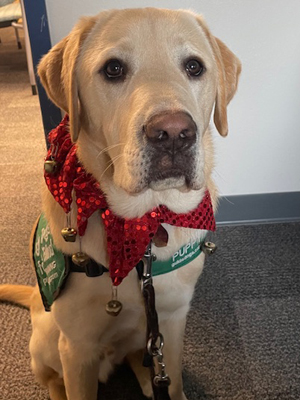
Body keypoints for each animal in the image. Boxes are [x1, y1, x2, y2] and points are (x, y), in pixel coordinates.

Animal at [0, 7, 239, 400]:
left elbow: (173, 382)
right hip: (49, 340)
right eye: (113, 69)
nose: (174, 133)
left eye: (194, 66)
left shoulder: (172, 323)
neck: (144, 227)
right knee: (51, 379)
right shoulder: (77, 348)